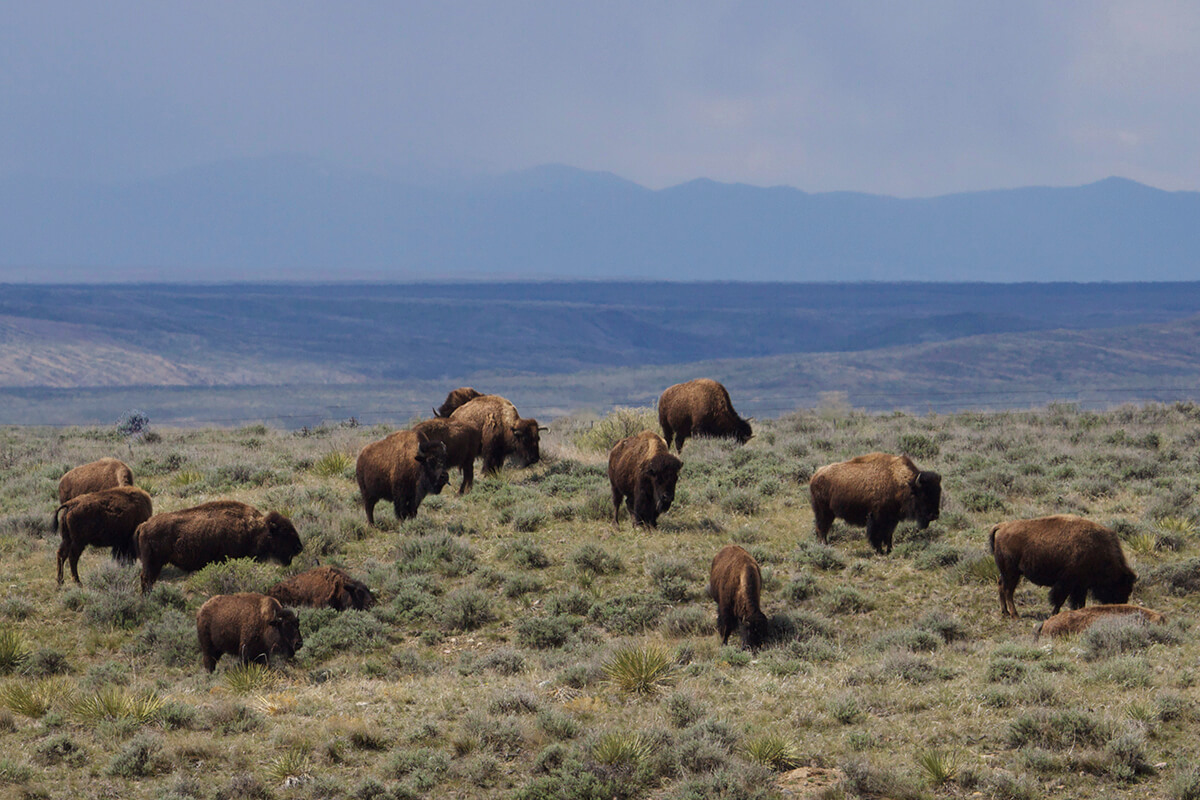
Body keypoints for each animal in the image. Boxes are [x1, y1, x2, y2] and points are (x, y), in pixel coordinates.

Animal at [135, 500, 304, 593]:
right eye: (284, 532)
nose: (299, 547)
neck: (254, 529)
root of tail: (144, 525)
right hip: (153, 563)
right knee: (146, 579)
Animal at [809, 452, 941, 554]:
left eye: (938, 493)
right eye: (923, 495)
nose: (934, 515)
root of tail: (816, 475)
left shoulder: (892, 519)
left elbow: (888, 535)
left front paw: (889, 550)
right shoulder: (877, 517)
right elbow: (877, 535)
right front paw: (880, 551)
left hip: (828, 513)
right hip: (823, 512)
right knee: (821, 528)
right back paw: (824, 546)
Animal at [990, 514, 1136, 618]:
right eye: (1120, 586)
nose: (1121, 605)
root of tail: (1002, 526)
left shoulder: (1080, 586)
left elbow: (1078, 602)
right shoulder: (1067, 583)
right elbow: (1060, 600)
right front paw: (1054, 614)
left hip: (1007, 573)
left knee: (1001, 586)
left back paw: (1005, 613)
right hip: (1012, 573)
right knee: (1008, 591)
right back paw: (1015, 615)